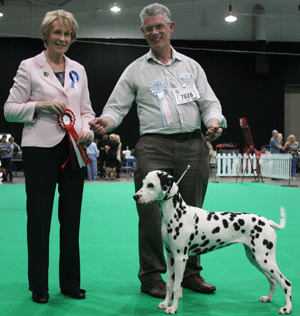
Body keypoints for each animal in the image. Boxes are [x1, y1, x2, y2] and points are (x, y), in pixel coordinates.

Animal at [133, 172, 290, 314]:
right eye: (143, 183)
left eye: (151, 185)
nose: (135, 197)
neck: (176, 213)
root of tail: (266, 221)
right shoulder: (170, 256)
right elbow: (169, 285)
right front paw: (166, 304)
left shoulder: (180, 258)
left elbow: (177, 287)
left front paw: (173, 308)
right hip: (255, 259)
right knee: (273, 281)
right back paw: (268, 298)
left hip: (265, 259)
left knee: (286, 283)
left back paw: (287, 308)